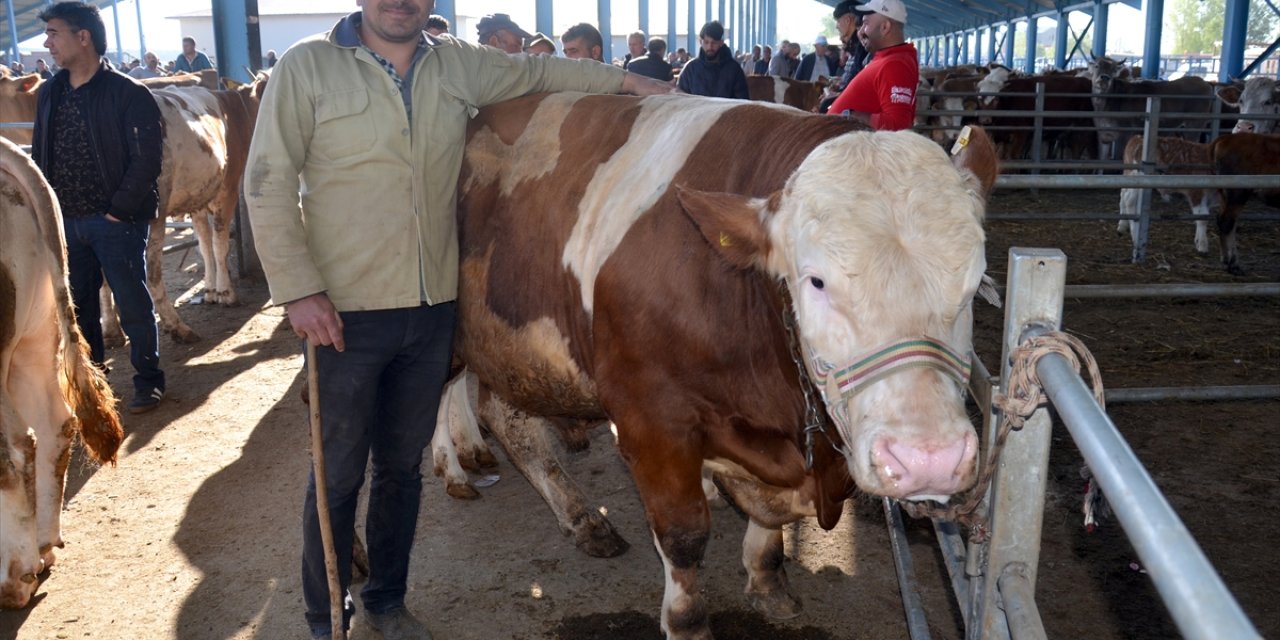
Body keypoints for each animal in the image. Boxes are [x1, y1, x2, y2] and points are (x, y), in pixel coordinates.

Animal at [1208, 133, 1280, 273]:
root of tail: (1224, 138)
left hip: (1225, 195)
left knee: (1226, 221)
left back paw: (1226, 259)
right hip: (1238, 194)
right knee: (1227, 222)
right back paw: (1233, 264)